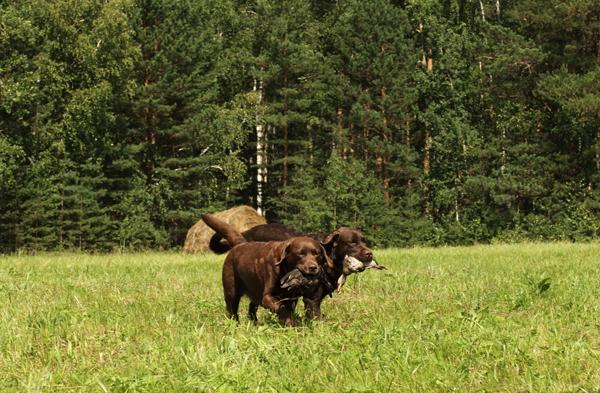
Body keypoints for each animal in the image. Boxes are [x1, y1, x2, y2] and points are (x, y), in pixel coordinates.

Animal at [203, 213, 332, 326]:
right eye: (301, 254)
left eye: (317, 254)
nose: (313, 267)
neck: (284, 269)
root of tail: (240, 244)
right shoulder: (266, 297)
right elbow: (281, 308)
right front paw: (289, 323)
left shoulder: (291, 298)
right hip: (231, 291)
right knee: (232, 310)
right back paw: (235, 325)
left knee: (251, 308)